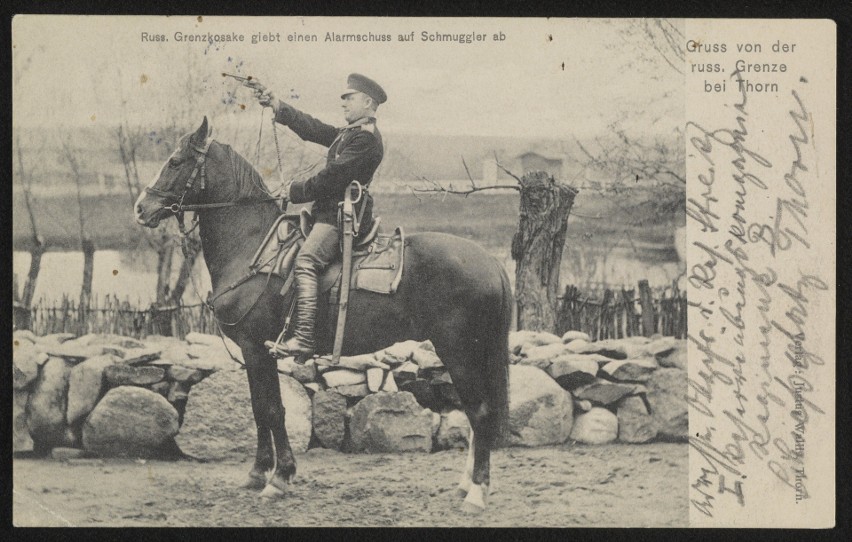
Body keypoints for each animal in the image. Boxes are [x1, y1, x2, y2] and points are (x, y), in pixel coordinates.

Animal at [131, 118, 506, 516]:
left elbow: (272, 410)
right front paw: (258, 473)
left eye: (175, 161)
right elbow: (259, 409)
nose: (140, 208)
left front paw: (279, 478)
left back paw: (477, 492)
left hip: (459, 352)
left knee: (480, 412)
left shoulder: (255, 348)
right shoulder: (253, 353)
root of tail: (491, 262)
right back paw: (466, 484)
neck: (251, 246)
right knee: (476, 414)